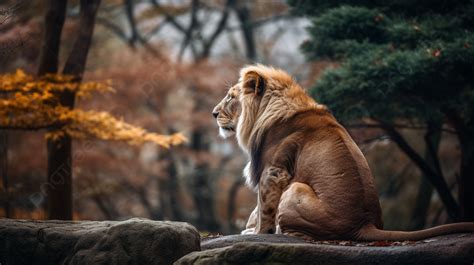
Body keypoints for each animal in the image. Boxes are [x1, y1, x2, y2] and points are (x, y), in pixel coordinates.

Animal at [214, 63, 474, 239]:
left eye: (230, 97)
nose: (214, 113)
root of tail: (364, 224)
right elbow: (259, 207)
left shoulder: (274, 171)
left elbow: (264, 206)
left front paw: (256, 232)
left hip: (296, 188)